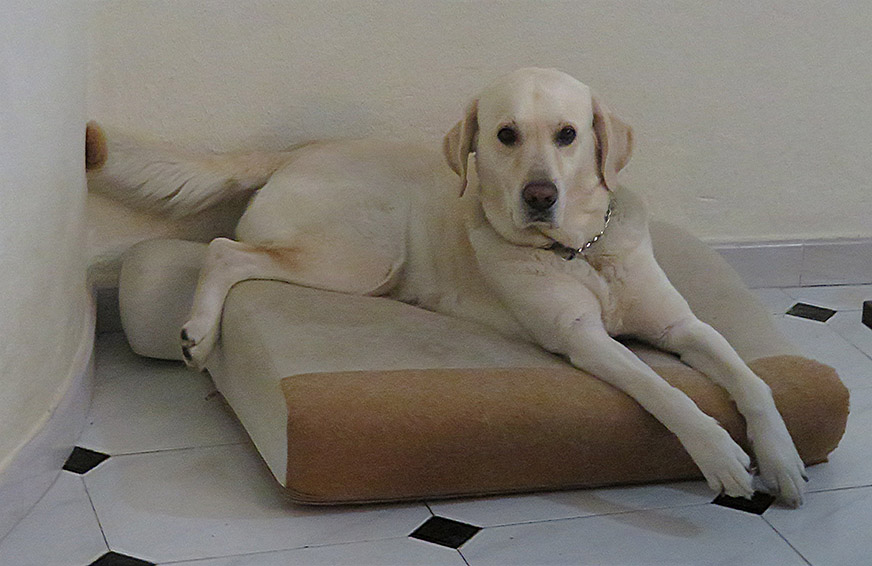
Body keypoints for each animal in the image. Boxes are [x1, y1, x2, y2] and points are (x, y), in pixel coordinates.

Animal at [86, 67, 806, 506]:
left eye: (568, 135)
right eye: (506, 134)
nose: (539, 196)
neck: (580, 251)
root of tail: (295, 151)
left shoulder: (684, 325)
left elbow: (754, 382)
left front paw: (782, 458)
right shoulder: (582, 338)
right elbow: (665, 391)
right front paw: (718, 453)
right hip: (360, 257)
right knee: (225, 252)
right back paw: (198, 333)